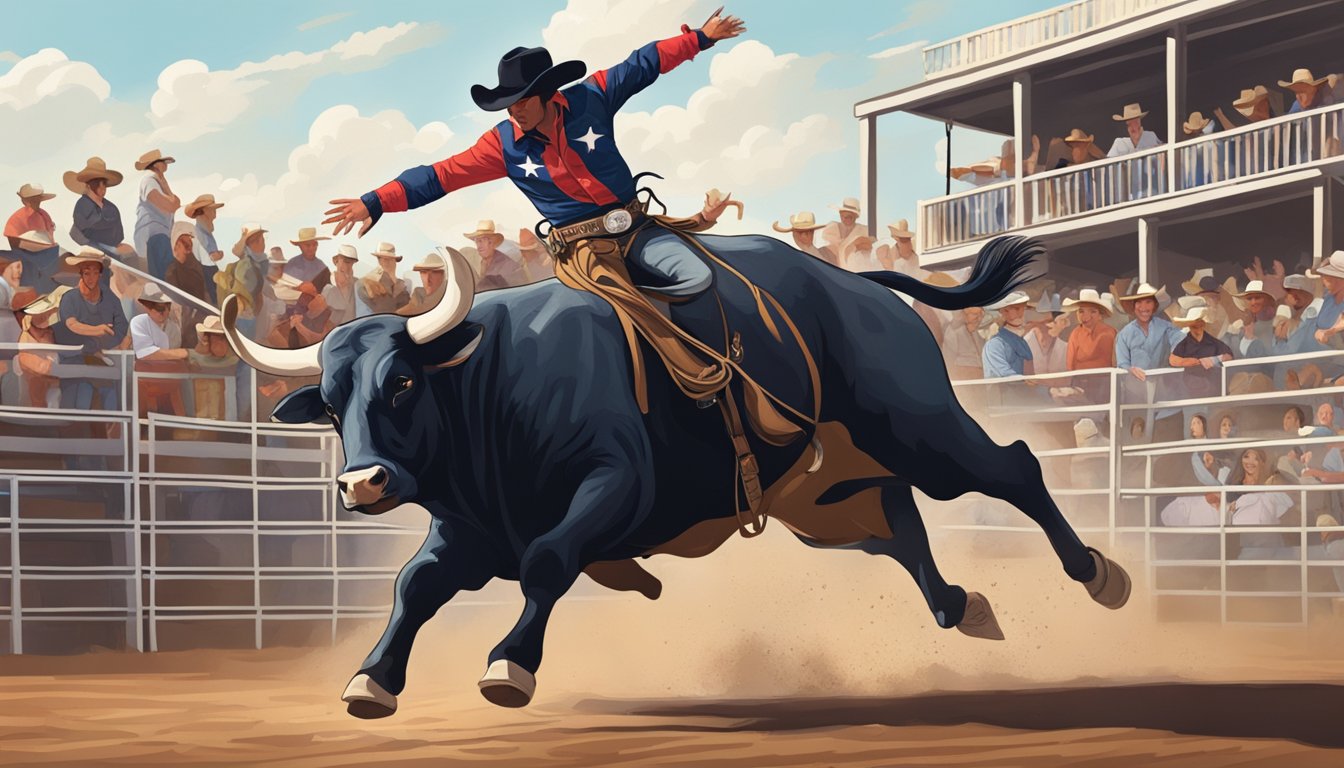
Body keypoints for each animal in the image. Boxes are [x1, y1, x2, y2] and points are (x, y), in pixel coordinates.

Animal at [223, 231, 1123, 720]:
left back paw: (1099, 574)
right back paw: (961, 607)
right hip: (828, 499)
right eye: (330, 402)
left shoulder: (614, 488)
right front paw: (371, 679)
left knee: (1012, 470)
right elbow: (414, 585)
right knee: (901, 528)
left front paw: (510, 664)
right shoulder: (469, 531)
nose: (363, 485)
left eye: (403, 382)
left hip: (921, 426)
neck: (497, 381)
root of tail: (859, 287)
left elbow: (548, 562)